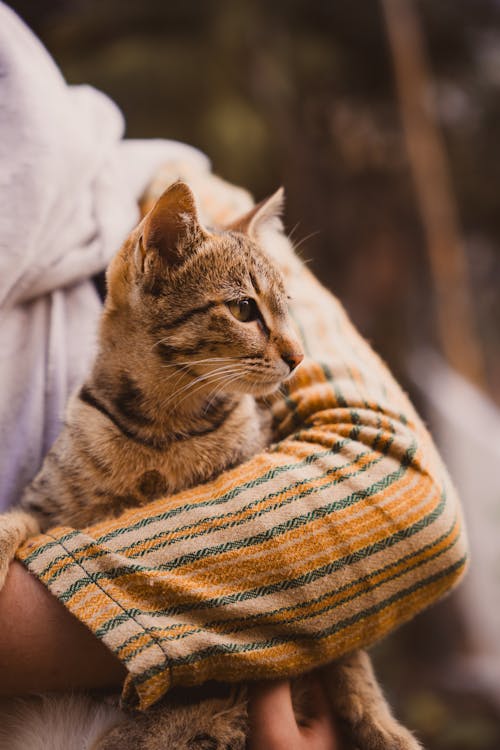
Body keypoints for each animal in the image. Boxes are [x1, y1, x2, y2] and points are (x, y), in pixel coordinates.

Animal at [0, 182, 420, 750]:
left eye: (288, 310)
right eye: (245, 309)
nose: (299, 356)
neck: (165, 430)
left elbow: (345, 648)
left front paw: (380, 724)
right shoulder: (45, 506)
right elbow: (17, 520)